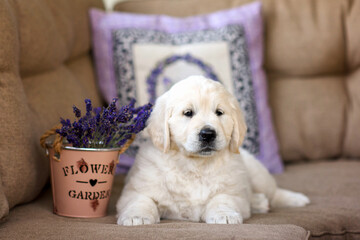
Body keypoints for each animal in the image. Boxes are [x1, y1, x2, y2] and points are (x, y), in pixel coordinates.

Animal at [116, 75, 310, 225]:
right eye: (188, 113)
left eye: (219, 112)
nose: (208, 134)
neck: (195, 165)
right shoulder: (137, 188)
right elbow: (140, 200)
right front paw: (136, 217)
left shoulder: (231, 189)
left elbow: (222, 199)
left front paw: (224, 216)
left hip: (256, 174)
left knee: (273, 192)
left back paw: (293, 199)